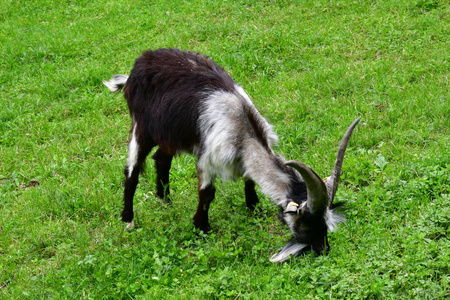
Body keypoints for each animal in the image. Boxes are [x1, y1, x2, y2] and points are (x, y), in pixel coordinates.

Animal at [103, 48, 360, 262]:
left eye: (326, 224)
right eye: (307, 224)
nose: (323, 249)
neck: (243, 128)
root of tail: (137, 66)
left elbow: (249, 181)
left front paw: (254, 208)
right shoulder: (207, 159)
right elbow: (207, 194)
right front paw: (202, 228)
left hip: (170, 133)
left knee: (161, 160)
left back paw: (165, 200)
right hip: (142, 128)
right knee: (132, 171)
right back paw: (128, 220)